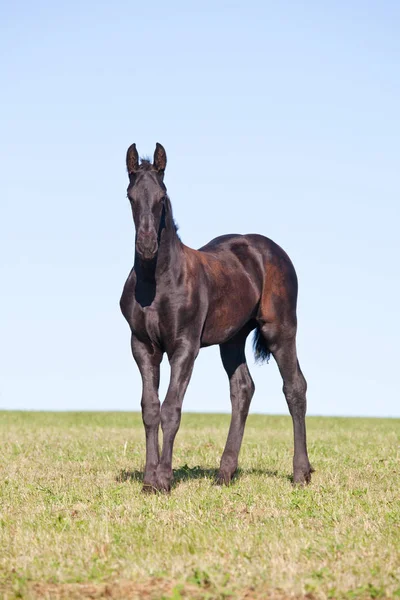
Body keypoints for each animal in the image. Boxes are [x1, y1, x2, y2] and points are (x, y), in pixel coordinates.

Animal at [119, 143, 312, 490]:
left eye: (162, 197)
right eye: (131, 196)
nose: (147, 245)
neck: (157, 281)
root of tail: (269, 249)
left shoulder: (185, 347)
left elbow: (171, 409)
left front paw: (163, 480)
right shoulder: (142, 346)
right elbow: (150, 409)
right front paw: (148, 480)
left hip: (280, 330)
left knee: (295, 387)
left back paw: (301, 473)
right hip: (232, 339)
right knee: (242, 389)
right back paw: (224, 474)